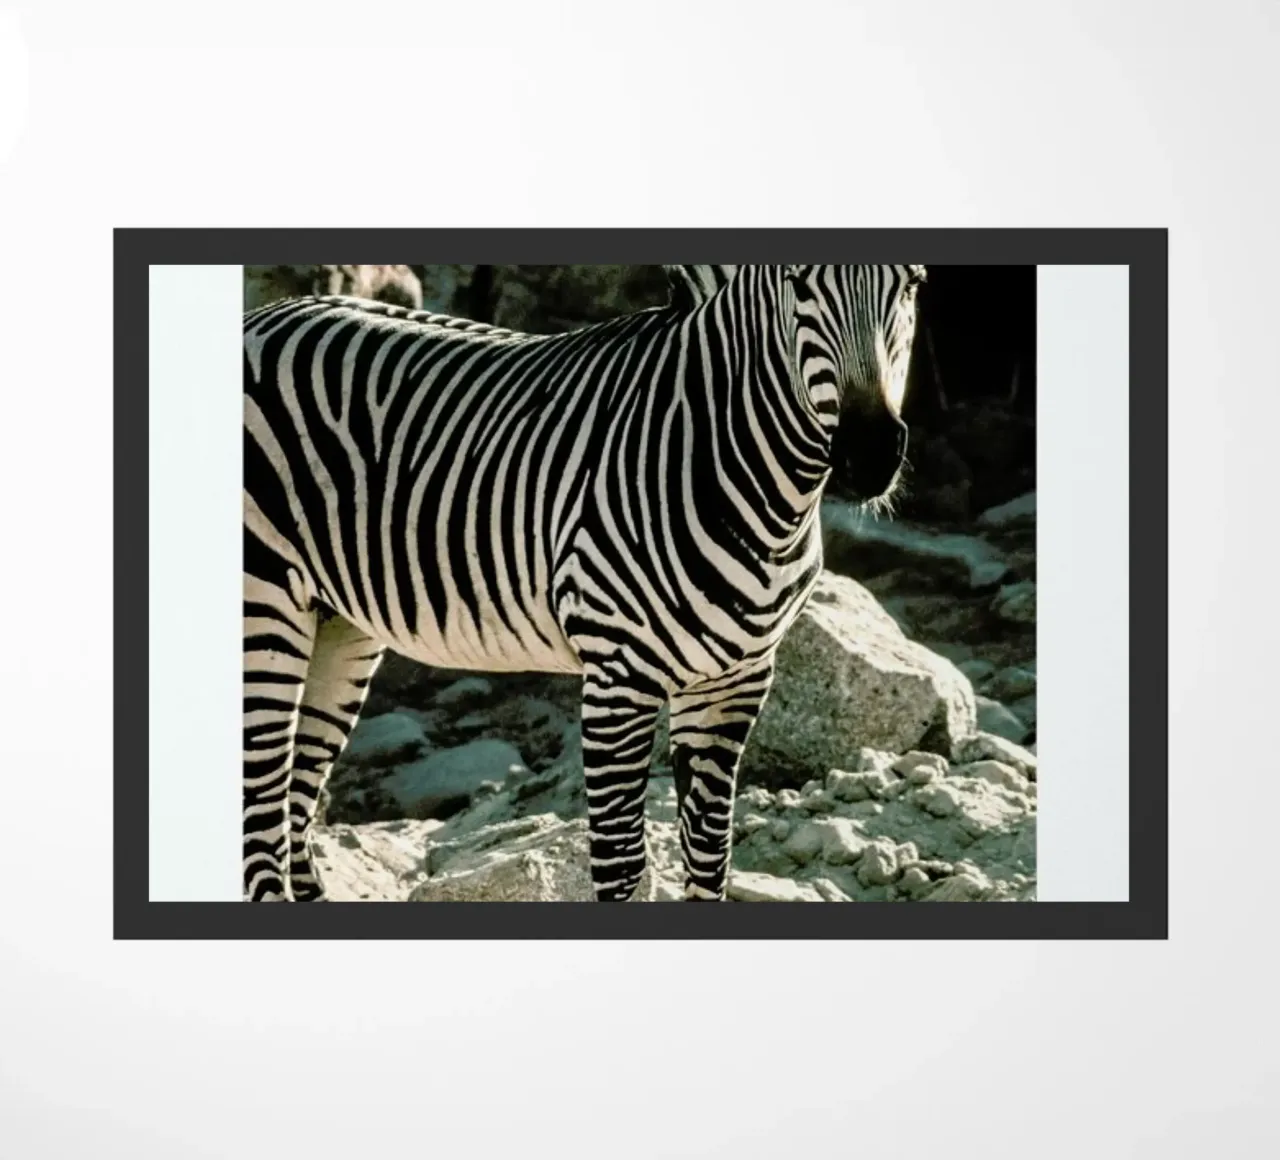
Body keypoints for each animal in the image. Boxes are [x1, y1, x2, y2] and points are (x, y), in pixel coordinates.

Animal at [242, 263, 926, 902]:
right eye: (795, 280)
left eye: (912, 285)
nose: (870, 454)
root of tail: (266, 314)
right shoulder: (619, 678)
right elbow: (622, 866)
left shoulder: (735, 680)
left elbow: (710, 856)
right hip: (266, 608)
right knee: (261, 818)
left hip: (339, 623)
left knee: (294, 809)